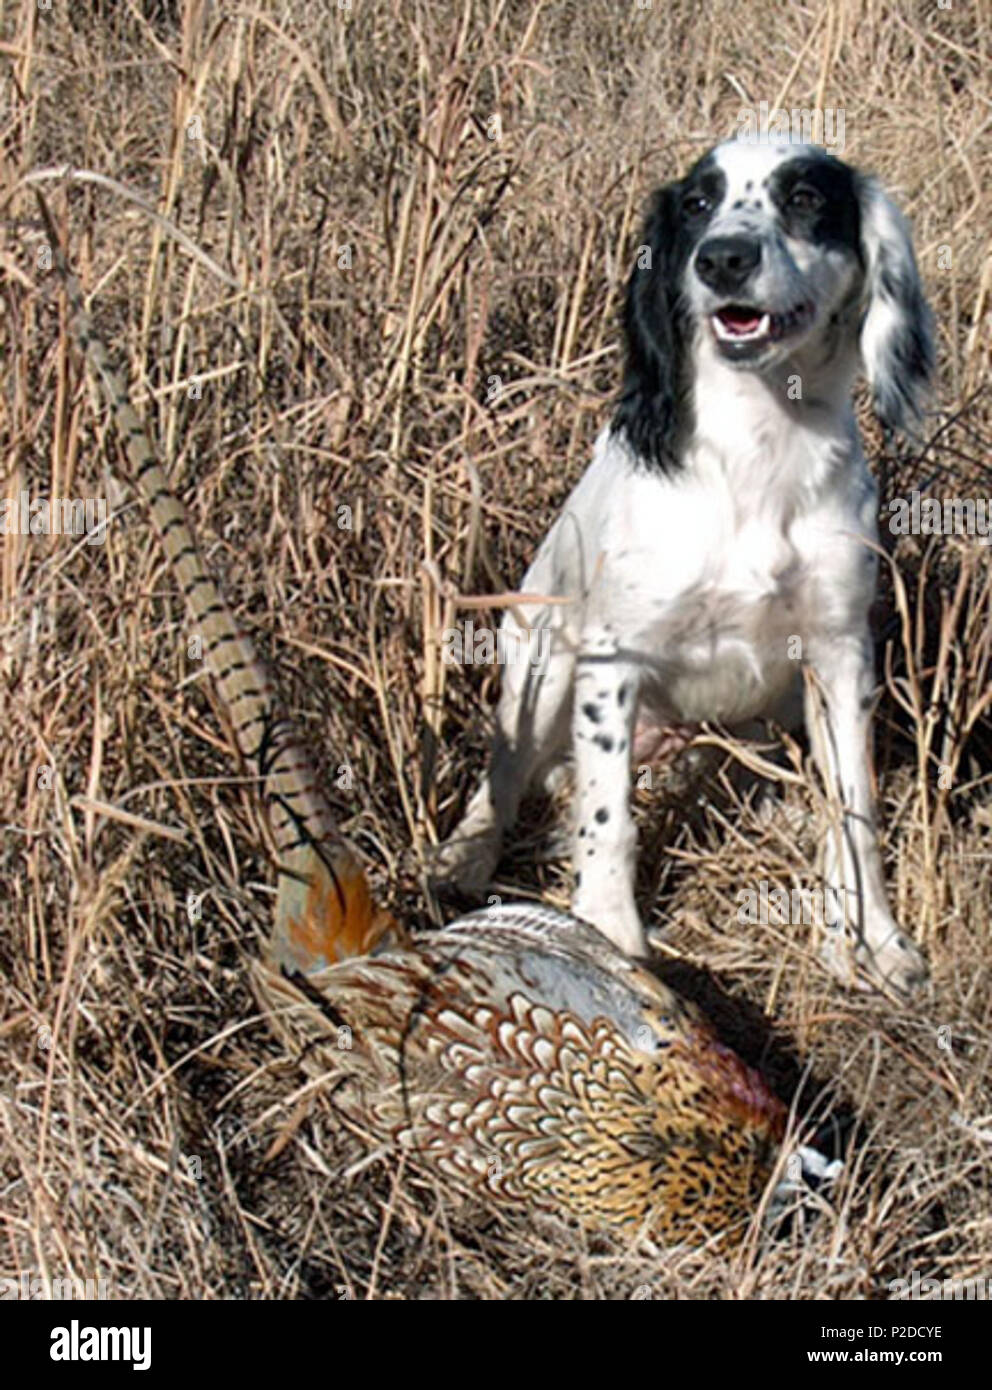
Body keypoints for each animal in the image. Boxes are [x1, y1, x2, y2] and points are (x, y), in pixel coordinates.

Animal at [436, 135, 933, 995]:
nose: (723, 258)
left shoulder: (840, 656)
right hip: (541, 660)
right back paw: (465, 856)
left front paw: (875, 940)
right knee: (503, 779)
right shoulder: (613, 657)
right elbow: (609, 821)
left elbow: (857, 813)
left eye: (806, 198)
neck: (758, 450)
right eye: (699, 204)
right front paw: (609, 935)